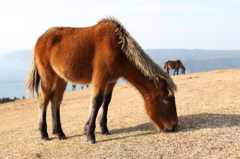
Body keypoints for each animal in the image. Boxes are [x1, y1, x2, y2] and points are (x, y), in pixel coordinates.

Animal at [24, 16, 178, 145]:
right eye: (166, 101)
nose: (174, 126)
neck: (117, 48)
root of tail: (41, 38)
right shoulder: (100, 78)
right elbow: (96, 102)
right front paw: (90, 134)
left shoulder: (111, 81)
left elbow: (106, 102)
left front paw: (104, 129)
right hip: (48, 77)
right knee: (43, 100)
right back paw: (44, 133)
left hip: (61, 78)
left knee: (55, 100)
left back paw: (59, 132)